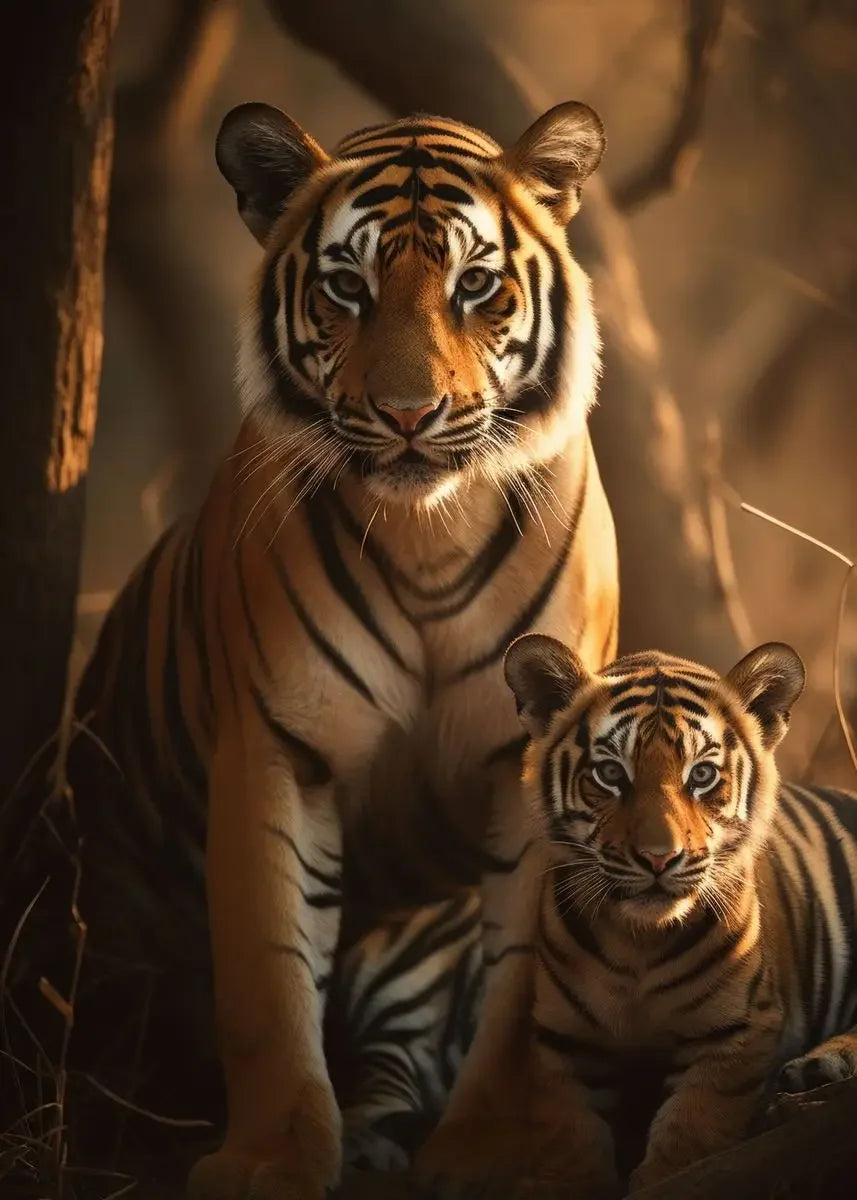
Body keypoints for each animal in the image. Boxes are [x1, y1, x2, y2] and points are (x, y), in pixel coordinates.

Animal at [10, 102, 619, 1198]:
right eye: (347, 286)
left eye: (475, 285)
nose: (409, 415)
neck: (429, 530)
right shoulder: (278, 747)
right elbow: (268, 974)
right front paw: (271, 1161)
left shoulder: (534, 758)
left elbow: (522, 993)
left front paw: (501, 1153)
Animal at [491, 632, 857, 1195]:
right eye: (611, 773)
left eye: (702, 775)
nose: (660, 858)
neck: (637, 944)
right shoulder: (565, 1042)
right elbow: (571, 1139)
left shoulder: (735, 1034)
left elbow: (689, 1139)